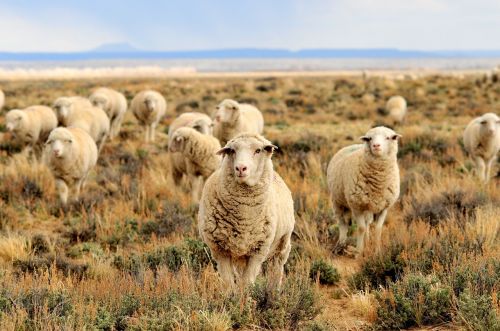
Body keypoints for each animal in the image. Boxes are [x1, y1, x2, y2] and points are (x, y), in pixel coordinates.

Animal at [198, 132, 294, 288]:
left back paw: (273, 291)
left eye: (258, 150)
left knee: (276, 268)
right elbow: (229, 283)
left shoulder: (258, 251)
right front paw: (232, 295)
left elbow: (247, 283)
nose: (241, 168)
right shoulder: (220, 251)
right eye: (232, 151)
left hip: (282, 244)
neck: (244, 216)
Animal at [326, 126, 400, 255]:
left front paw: (377, 251)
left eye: (388, 137)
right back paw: (341, 244)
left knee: (367, 222)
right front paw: (359, 251)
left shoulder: (383, 207)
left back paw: (367, 240)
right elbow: (361, 228)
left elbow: (378, 229)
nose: (376, 145)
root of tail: (353, 145)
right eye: (369, 139)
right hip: (338, 201)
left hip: (367, 206)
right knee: (343, 223)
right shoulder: (357, 206)